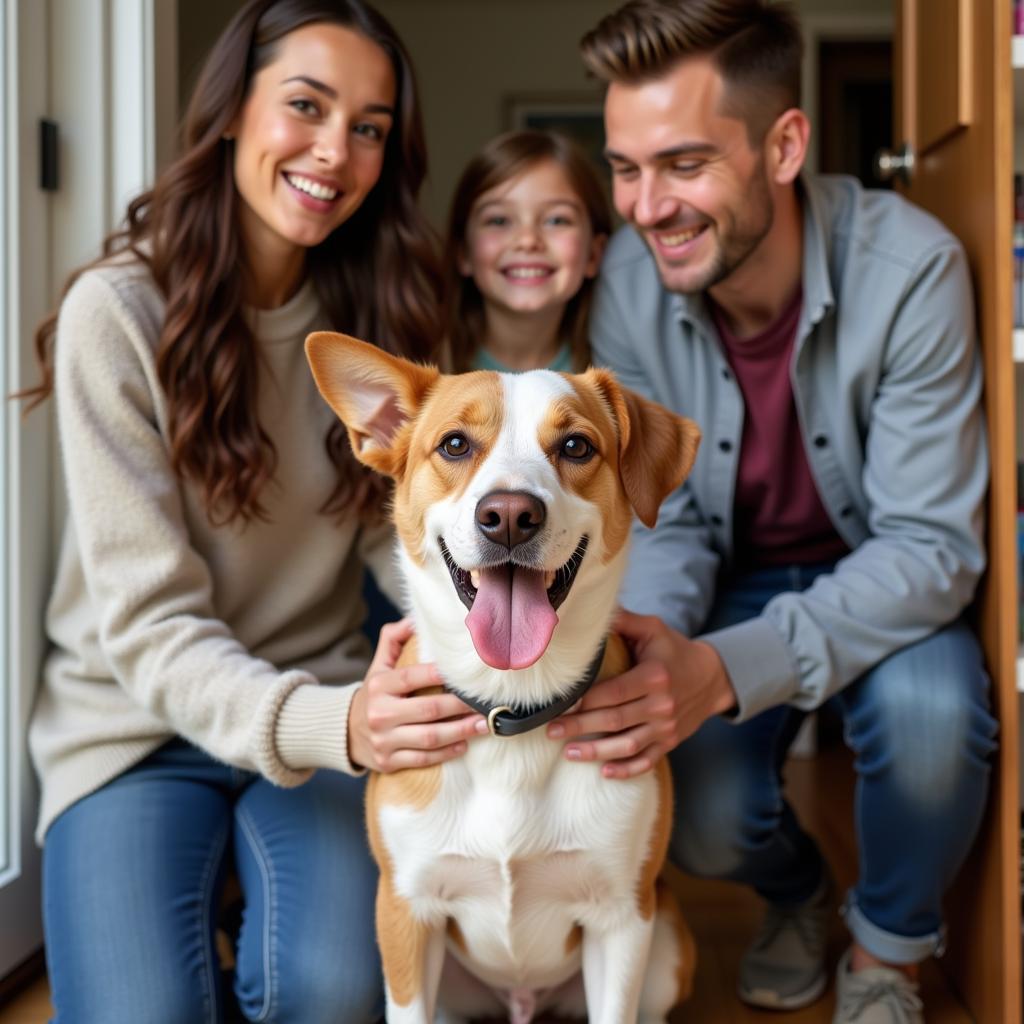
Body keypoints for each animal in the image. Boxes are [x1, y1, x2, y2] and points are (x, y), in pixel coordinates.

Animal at [305, 333, 704, 1024]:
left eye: (576, 447)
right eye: (454, 445)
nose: (511, 514)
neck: (512, 707)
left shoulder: (622, 920)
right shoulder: (405, 914)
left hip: (668, 947)